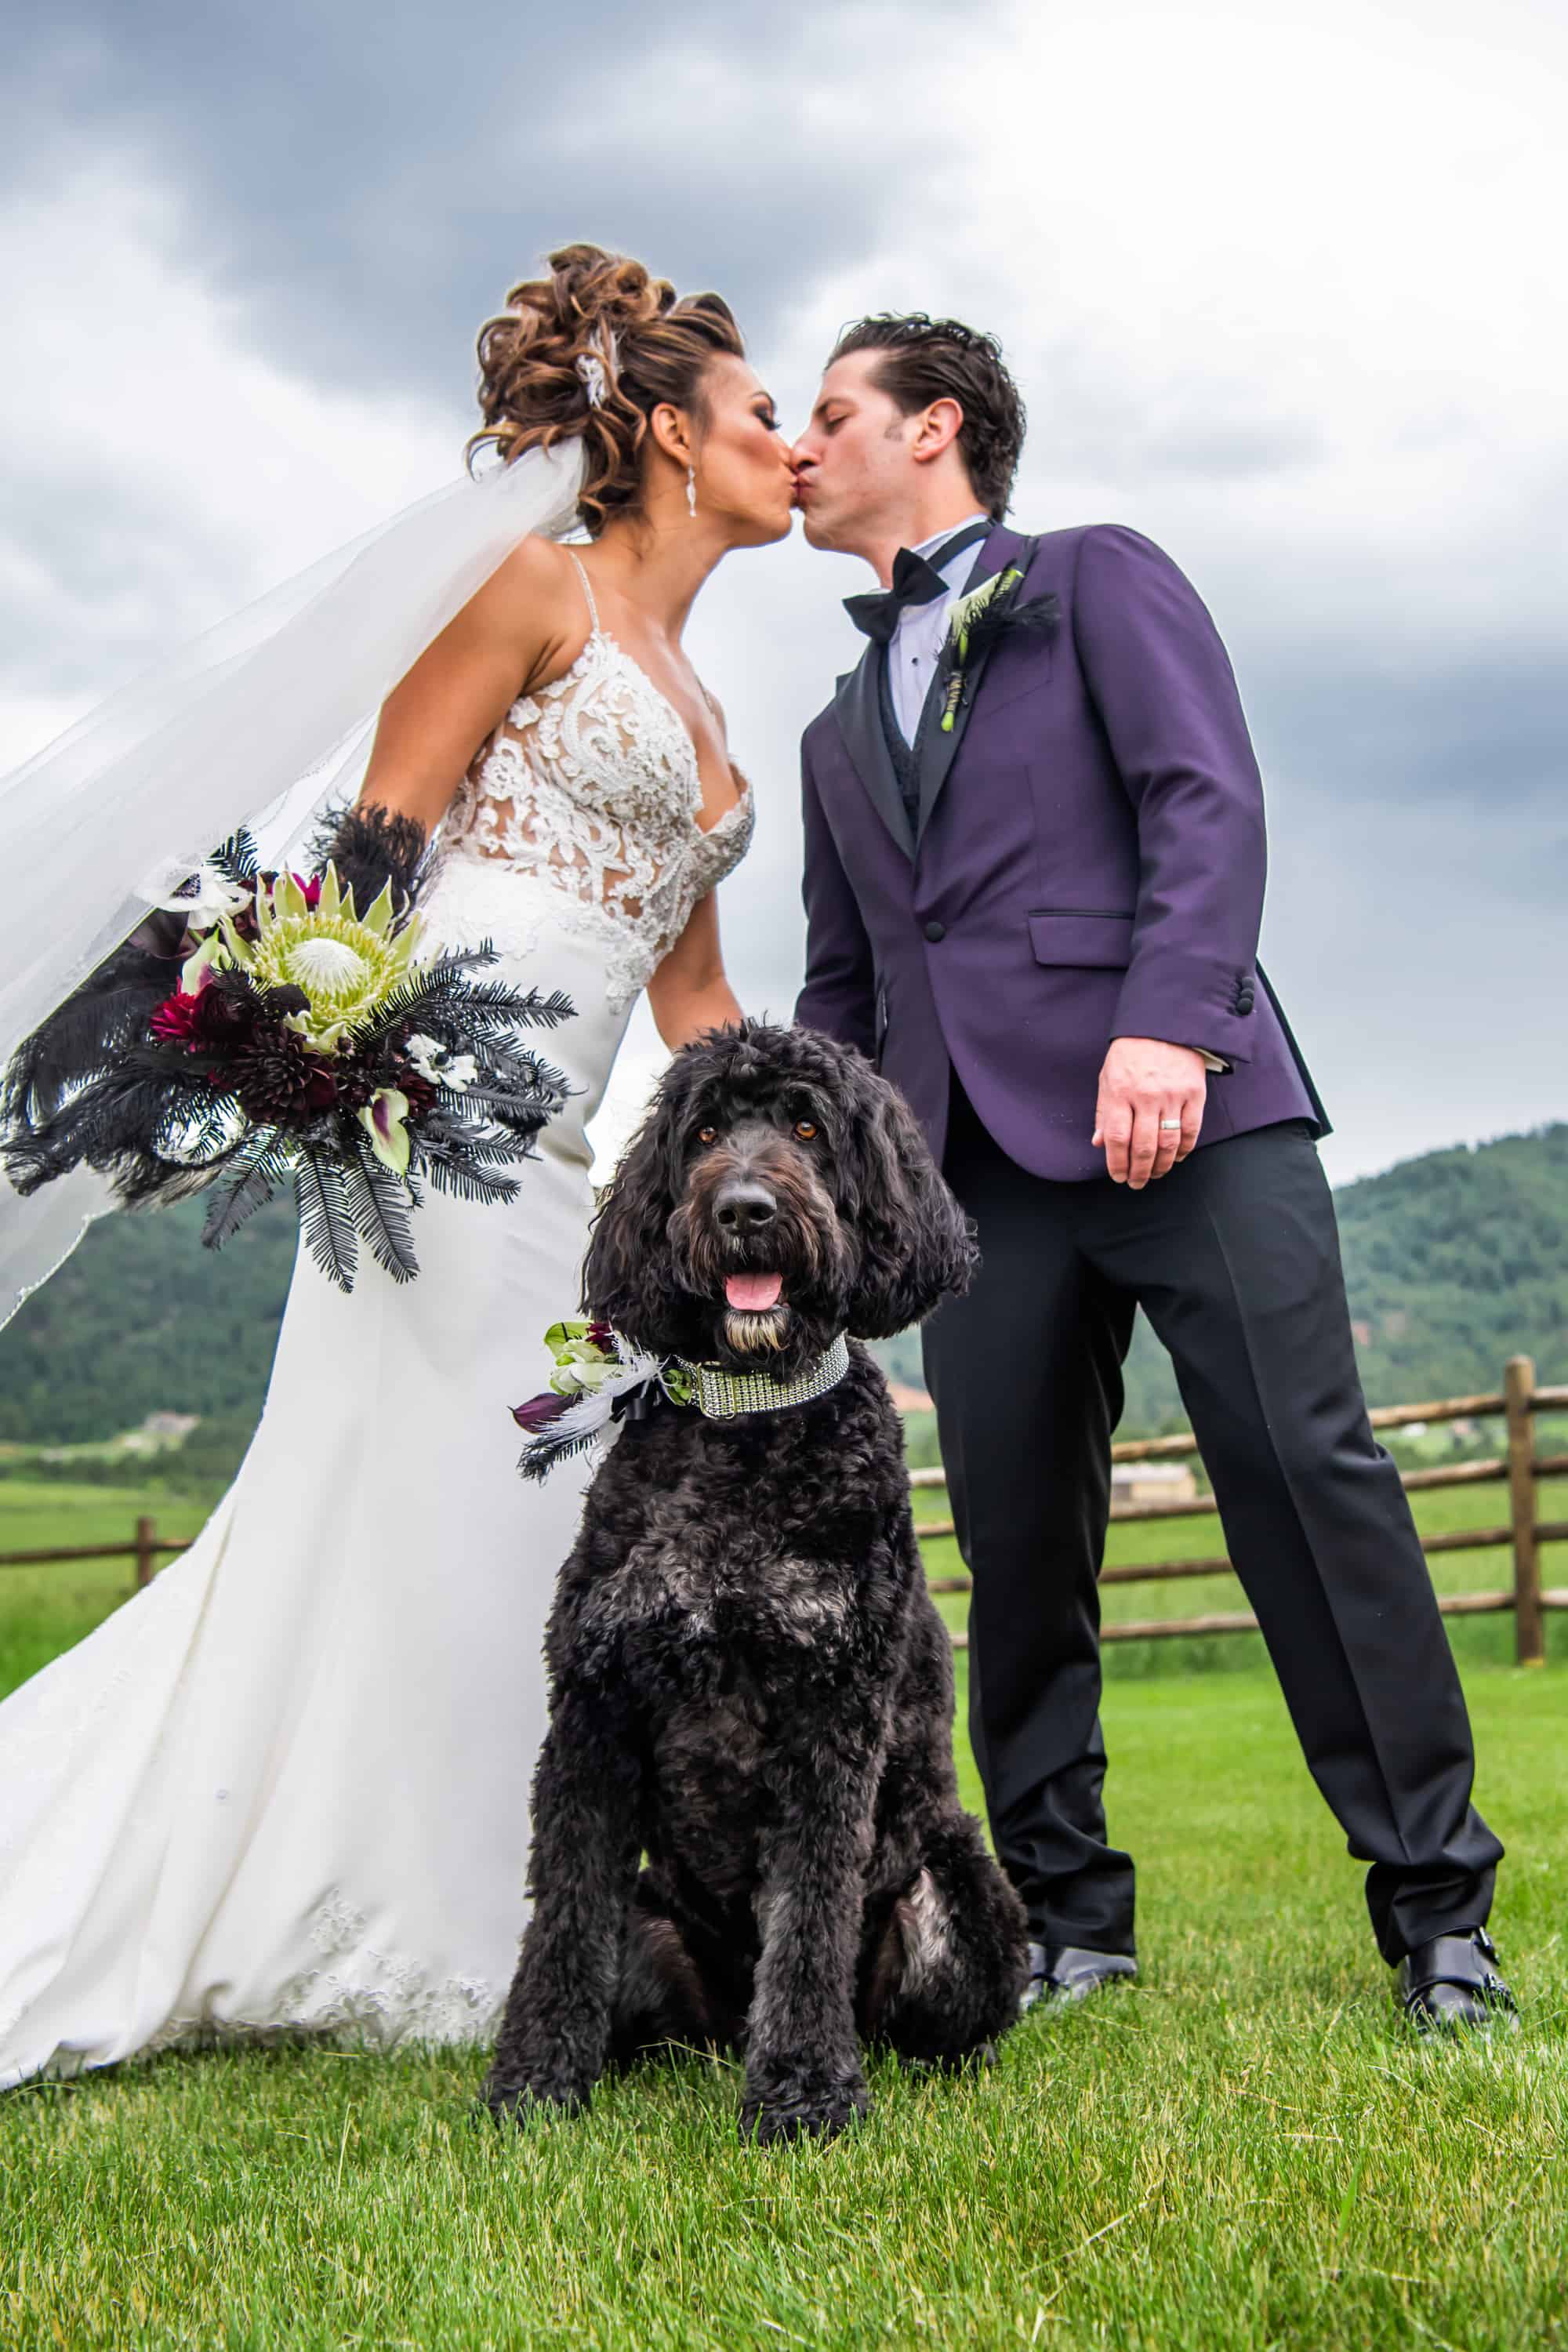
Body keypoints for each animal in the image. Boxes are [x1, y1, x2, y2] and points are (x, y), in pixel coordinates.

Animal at [486, 1021, 1029, 2145]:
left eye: (809, 1127)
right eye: (701, 1133)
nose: (744, 1209)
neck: (745, 1426)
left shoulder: (830, 1719)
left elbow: (809, 1920)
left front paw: (804, 2095)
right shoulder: (592, 1712)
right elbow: (560, 1919)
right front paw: (534, 2085)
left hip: (956, 1893)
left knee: (933, 2017)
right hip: (650, 1924)